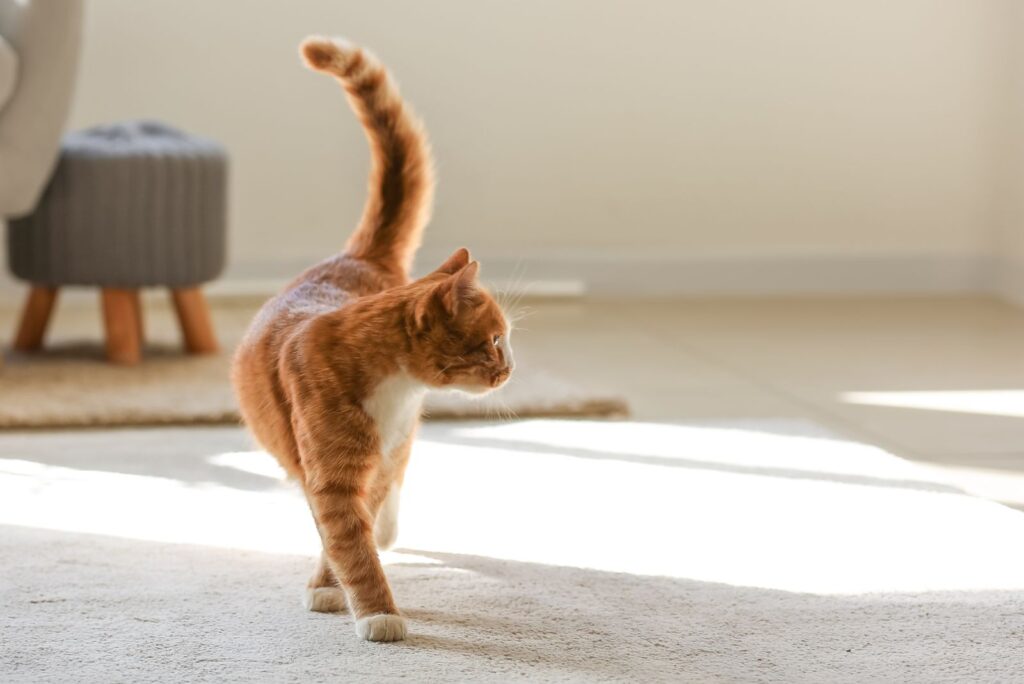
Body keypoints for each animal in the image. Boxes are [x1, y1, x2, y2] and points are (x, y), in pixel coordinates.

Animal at [235, 37, 516, 643]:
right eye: (494, 341)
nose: (510, 369)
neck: (396, 388)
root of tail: (357, 257)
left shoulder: (378, 461)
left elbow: (349, 535)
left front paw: (336, 587)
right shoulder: (333, 476)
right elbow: (347, 542)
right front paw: (376, 611)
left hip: (398, 448)